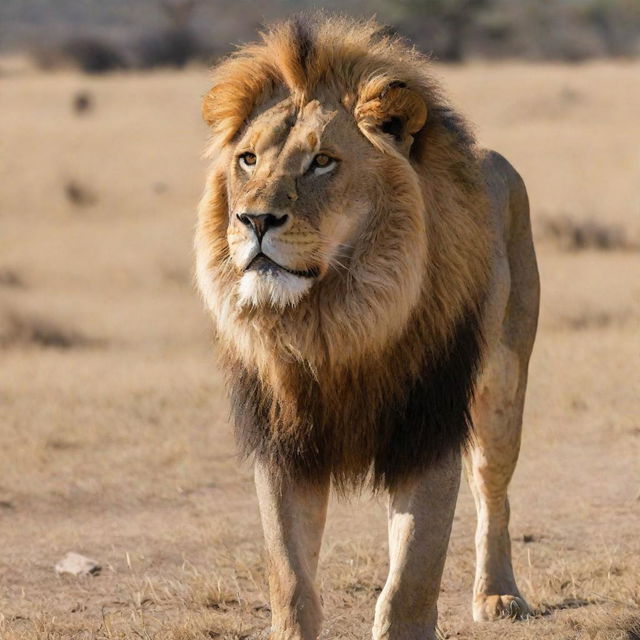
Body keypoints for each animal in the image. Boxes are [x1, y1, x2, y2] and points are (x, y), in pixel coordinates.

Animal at [195, 12, 540, 636]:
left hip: (502, 384)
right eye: (248, 160)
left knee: (493, 492)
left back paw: (500, 594)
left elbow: (410, 581)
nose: (254, 219)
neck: (334, 322)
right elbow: (290, 578)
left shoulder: (426, 429)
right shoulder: (285, 443)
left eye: (322, 161)